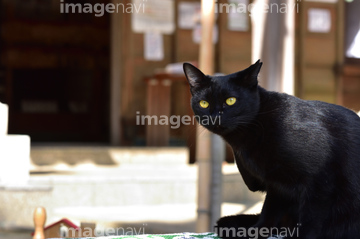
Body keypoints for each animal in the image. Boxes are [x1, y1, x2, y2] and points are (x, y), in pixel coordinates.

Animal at [184, 61, 360, 239]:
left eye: (231, 100)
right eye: (204, 103)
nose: (215, 117)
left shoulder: (320, 181)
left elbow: (310, 220)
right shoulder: (277, 184)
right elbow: (268, 212)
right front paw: (255, 232)